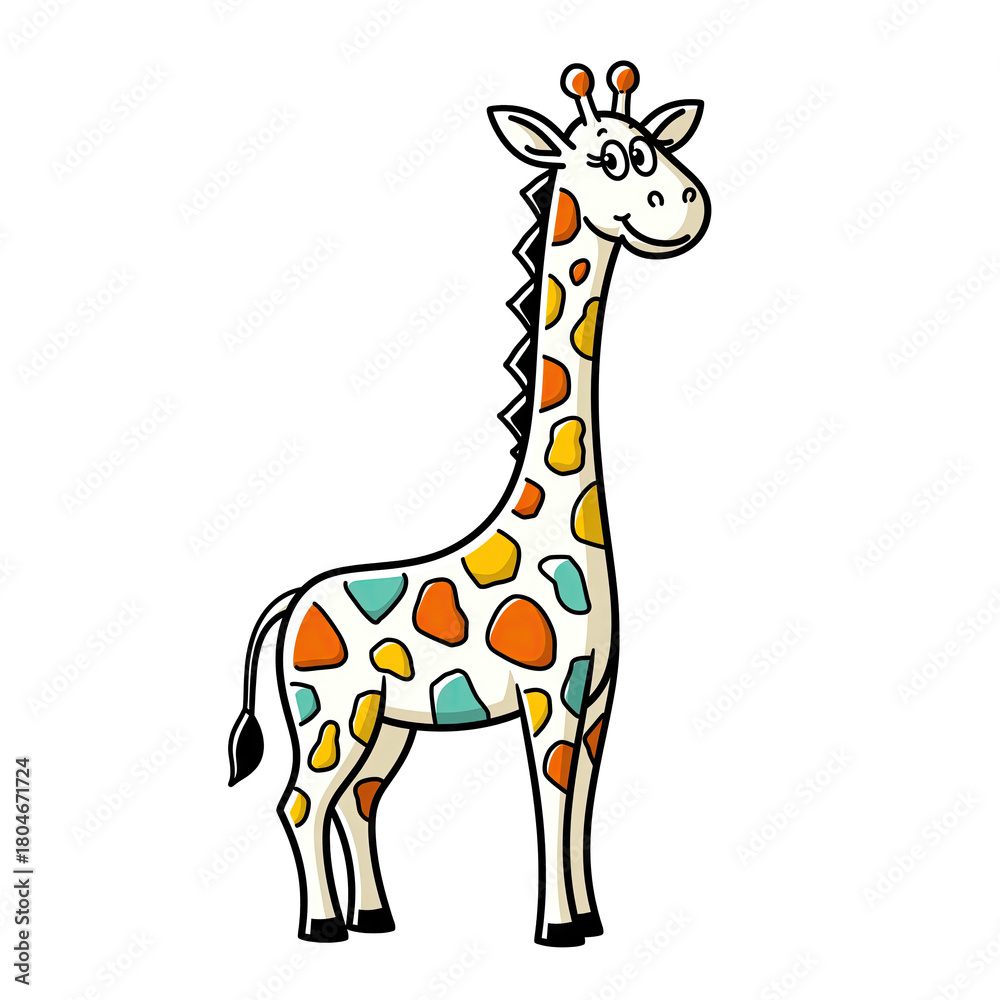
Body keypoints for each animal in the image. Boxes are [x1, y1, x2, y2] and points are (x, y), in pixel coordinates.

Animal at [227, 61, 710, 947]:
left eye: (656, 144)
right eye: (609, 158)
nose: (689, 203)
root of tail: (290, 602)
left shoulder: (598, 696)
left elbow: (582, 808)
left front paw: (590, 919)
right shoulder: (546, 696)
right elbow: (551, 799)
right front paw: (556, 930)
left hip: (385, 724)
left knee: (357, 802)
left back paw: (375, 918)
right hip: (328, 714)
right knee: (301, 801)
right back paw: (322, 926)